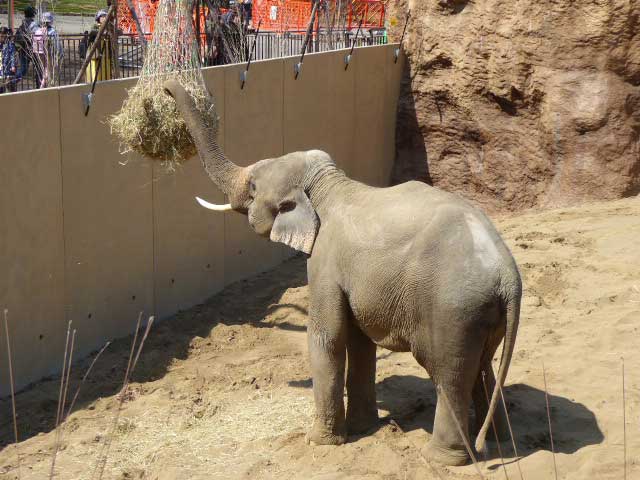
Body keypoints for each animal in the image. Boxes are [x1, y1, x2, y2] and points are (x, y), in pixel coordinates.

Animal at [162, 79, 524, 464]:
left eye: (255, 186)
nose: (168, 89)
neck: (326, 184)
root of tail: (508, 275)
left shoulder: (325, 261)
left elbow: (328, 336)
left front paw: (319, 442)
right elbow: (359, 341)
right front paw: (364, 428)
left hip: (453, 310)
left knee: (450, 376)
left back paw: (441, 458)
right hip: (481, 313)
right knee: (482, 367)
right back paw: (500, 441)